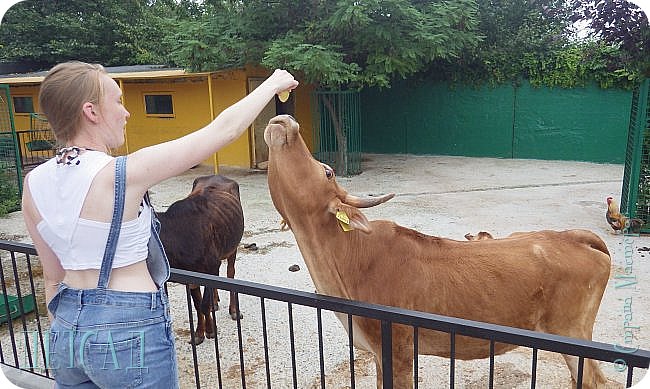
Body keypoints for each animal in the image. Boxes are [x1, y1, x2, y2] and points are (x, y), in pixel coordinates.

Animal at [158, 174, 246, 344]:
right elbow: (198, 305)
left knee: (230, 273)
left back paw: (233, 310)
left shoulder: (212, 265)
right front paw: (199, 332)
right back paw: (215, 302)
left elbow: (204, 305)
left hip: (233, 246)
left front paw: (211, 331)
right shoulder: (192, 277)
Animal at [262, 114, 608, 388]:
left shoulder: (399, 350)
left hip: (572, 331)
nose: (285, 120)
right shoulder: (379, 355)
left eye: (328, 171)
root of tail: (574, 236)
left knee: (593, 380)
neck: (348, 262)